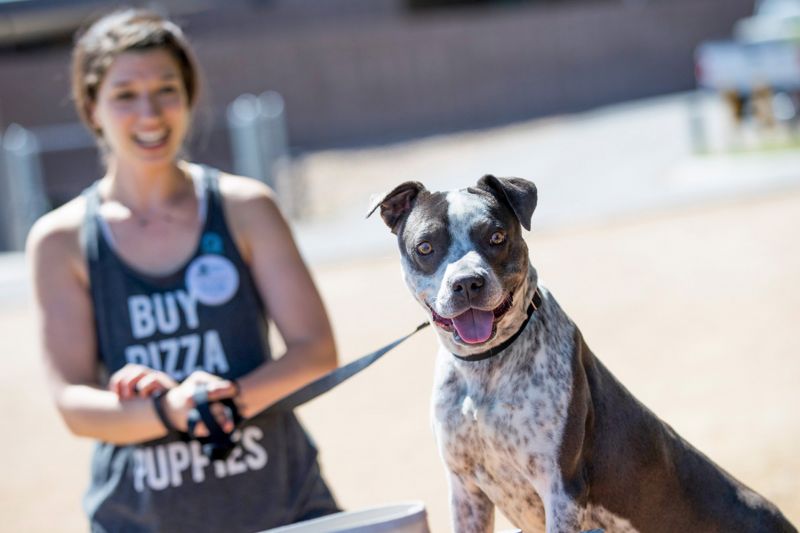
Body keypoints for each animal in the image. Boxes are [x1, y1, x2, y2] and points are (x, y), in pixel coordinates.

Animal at [368, 176, 792, 532]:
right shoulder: (465, 491)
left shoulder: (561, 491)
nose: (468, 282)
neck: (486, 367)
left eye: (496, 236)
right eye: (426, 247)